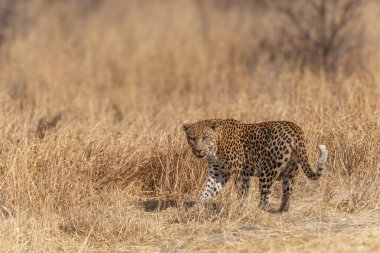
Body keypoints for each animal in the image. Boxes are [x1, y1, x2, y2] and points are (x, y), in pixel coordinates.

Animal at [183, 118, 328, 211]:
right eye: (192, 138)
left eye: (205, 137)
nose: (198, 150)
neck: (215, 149)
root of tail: (295, 129)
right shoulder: (218, 173)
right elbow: (207, 191)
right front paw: (198, 207)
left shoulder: (240, 172)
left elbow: (241, 191)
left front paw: (240, 207)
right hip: (291, 171)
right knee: (287, 192)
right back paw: (282, 210)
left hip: (267, 172)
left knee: (265, 196)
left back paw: (259, 210)